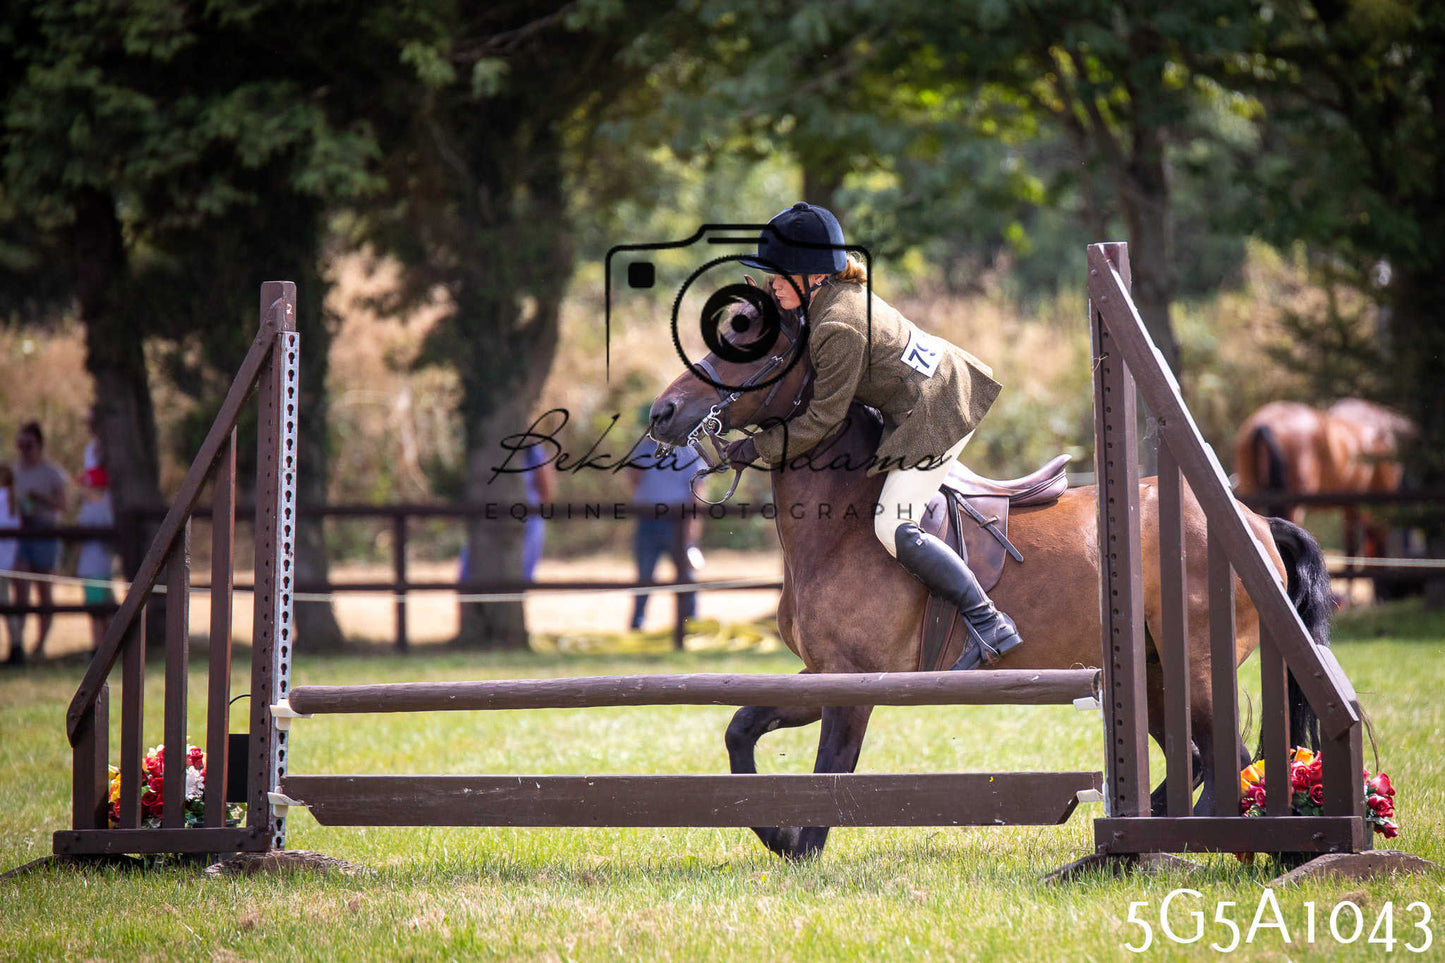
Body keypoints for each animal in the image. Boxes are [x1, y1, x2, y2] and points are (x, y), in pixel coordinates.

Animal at [650, 305, 1334, 861]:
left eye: (752, 347)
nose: (663, 412)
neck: (840, 517)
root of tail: (1255, 523)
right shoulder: (823, 675)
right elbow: (742, 728)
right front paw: (776, 834)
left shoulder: (854, 681)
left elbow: (830, 775)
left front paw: (801, 849)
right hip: (1157, 672)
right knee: (1199, 758)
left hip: (1196, 668)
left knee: (1224, 759)